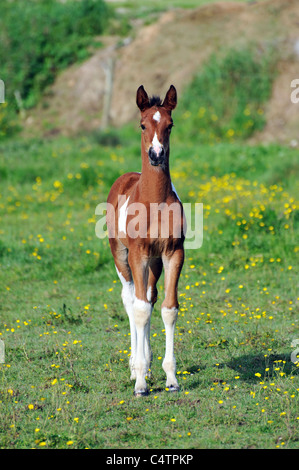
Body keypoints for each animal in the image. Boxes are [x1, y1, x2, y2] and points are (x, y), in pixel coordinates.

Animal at [105, 84, 185, 396]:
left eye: (170, 125)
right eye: (142, 125)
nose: (156, 154)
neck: (155, 202)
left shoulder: (173, 254)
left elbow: (167, 309)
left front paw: (170, 377)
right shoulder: (138, 254)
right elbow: (138, 310)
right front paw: (140, 382)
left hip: (154, 263)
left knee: (149, 299)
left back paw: (148, 365)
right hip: (121, 256)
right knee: (131, 300)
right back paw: (134, 367)